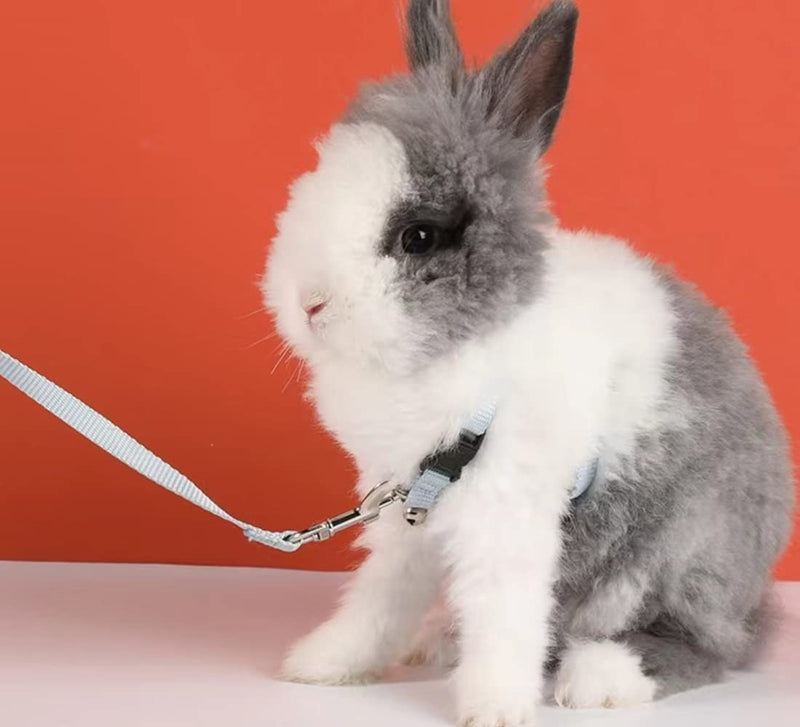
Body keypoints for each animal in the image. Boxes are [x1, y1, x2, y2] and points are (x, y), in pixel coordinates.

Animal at [262, 1, 795, 725]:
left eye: (419, 236)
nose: (308, 303)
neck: (469, 340)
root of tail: (752, 597)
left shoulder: (508, 509)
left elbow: (505, 614)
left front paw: (493, 706)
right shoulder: (411, 513)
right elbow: (381, 598)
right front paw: (325, 664)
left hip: (673, 553)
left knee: (704, 645)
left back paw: (600, 677)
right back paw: (440, 641)